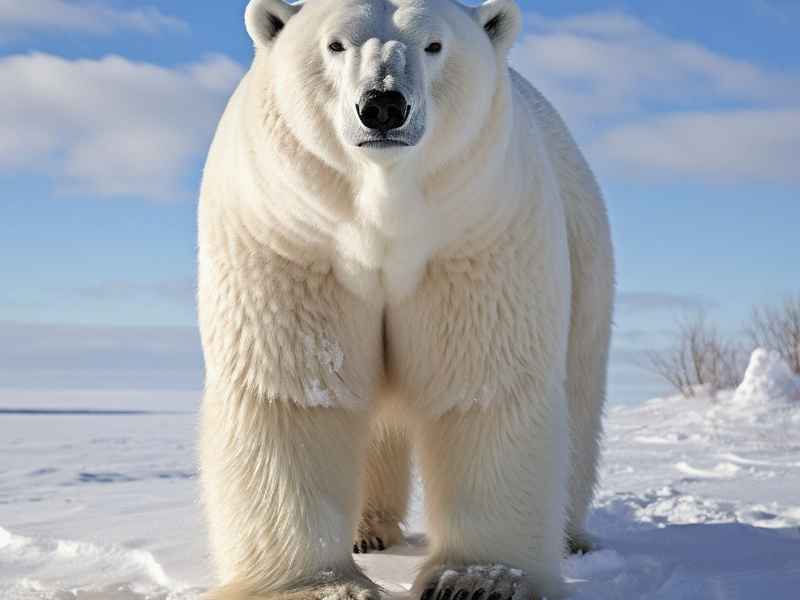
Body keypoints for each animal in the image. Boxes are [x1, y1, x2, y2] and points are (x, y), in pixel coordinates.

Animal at [197, 0, 614, 599]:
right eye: (336, 44)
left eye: (434, 45)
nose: (383, 105)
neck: (384, 214)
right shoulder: (293, 239)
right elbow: (297, 392)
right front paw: (317, 586)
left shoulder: (475, 237)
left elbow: (481, 386)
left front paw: (478, 580)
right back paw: (366, 532)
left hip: (585, 256)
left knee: (578, 397)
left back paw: (569, 537)